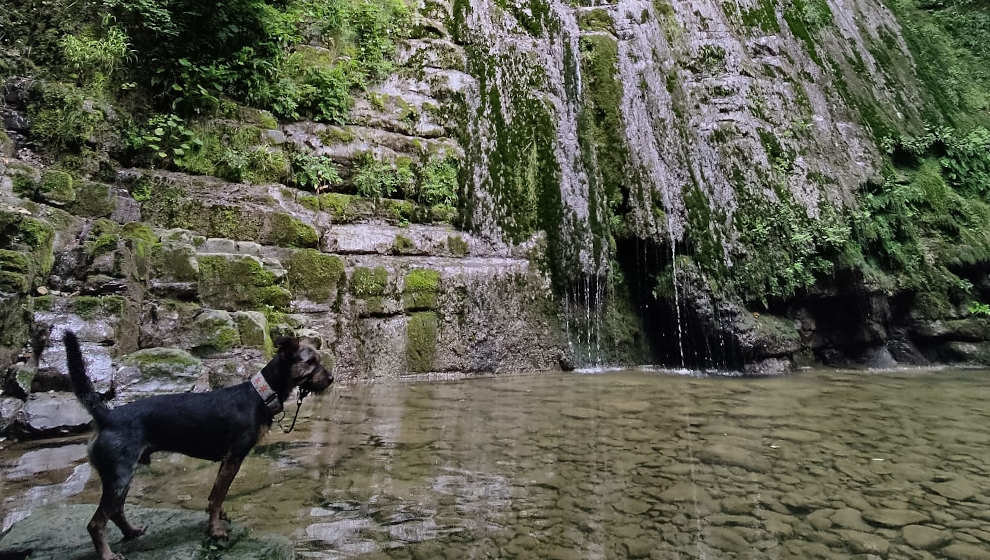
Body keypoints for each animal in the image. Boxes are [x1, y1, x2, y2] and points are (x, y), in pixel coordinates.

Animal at [63, 332, 334, 560]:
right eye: (311, 362)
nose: (331, 378)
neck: (260, 394)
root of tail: (107, 417)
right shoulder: (233, 457)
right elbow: (217, 496)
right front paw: (216, 530)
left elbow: (217, 497)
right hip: (119, 475)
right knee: (96, 523)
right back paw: (107, 555)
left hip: (122, 475)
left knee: (117, 510)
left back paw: (131, 532)